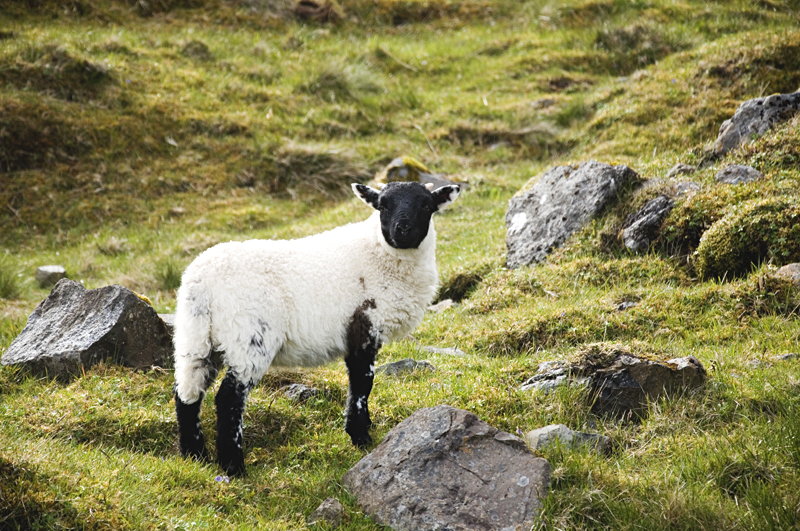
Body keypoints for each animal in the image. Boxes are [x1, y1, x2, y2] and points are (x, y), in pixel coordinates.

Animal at [174, 181, 462, 476]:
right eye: (383, 205)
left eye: (426, 205)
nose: (402, 229)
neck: (378, 254)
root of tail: (201, 281)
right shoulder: (364, 327)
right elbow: (362, 384)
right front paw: (361, 437)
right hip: (250, 337)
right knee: (228, 398)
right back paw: (233, 465)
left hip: (195, 337)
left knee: (187, 393)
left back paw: (194, 456)